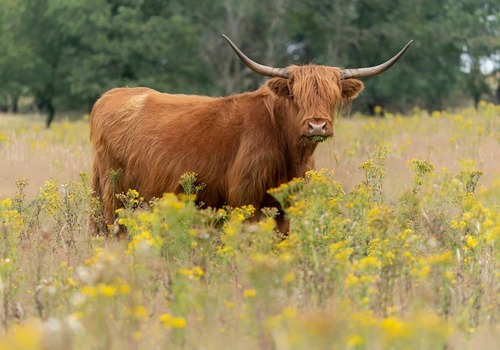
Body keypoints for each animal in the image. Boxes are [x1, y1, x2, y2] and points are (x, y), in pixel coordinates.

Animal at [89, 34, 410, 235]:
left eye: (332, 97)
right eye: (297, 96)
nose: (317, 126)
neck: (290, 154)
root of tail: (109, 96)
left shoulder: (284, 206)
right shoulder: (246, 198)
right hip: (113, 193)